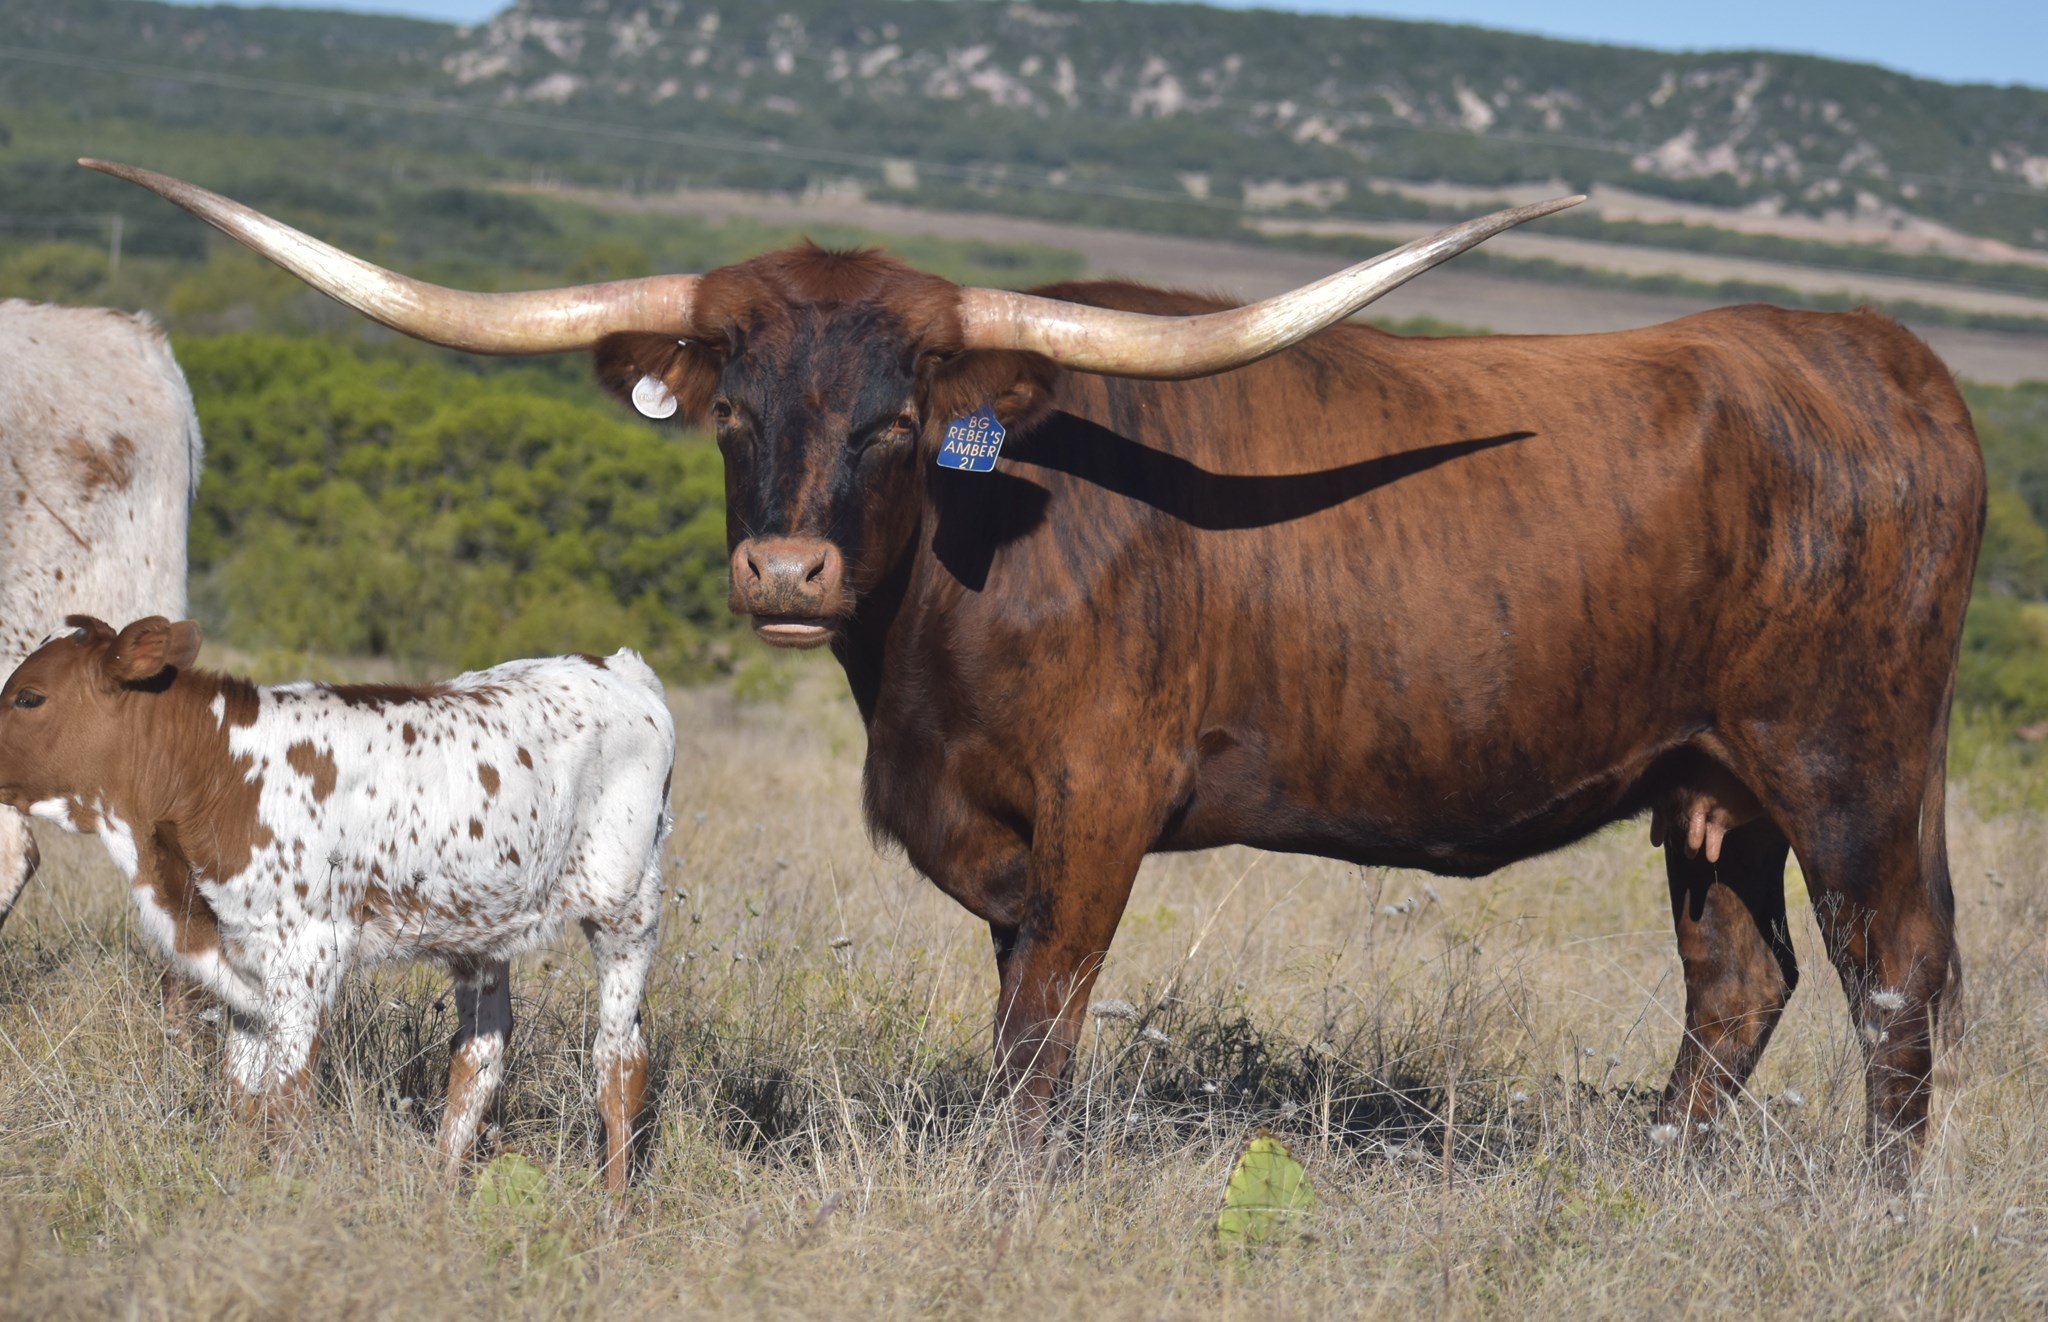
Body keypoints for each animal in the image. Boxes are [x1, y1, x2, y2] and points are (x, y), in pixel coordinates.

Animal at [0, 615, 676, 1190]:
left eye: (29, 697)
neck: (218, 772)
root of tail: (617, 666)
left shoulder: (307, 952)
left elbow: (287, 1096)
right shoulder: (244, 955)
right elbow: (242, 1094)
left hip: (628, 909)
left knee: (619, 1062)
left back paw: (613, 1213)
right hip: (482, 926)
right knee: (479, 1053)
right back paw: (439, 1191)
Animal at [86, 160, 1985, 1167]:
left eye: (896, 414)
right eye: (733, 403)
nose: (785, 567)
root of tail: (1870, 352)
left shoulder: (1099, 801)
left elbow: (1040, 1029)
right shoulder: (1000, 827)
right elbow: (1014, 1007)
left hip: (1851, 767)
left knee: (1891, 981)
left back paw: (1867, 1211)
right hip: (1710, 789)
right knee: (1738, 979)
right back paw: (1658, 1175)